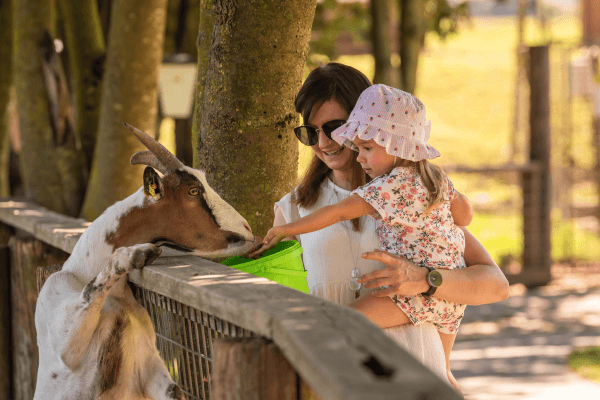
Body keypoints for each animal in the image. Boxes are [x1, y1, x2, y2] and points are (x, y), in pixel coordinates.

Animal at [32, 123, 258, 398]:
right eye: (193, 190)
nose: (247, 230)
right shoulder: (65, 345)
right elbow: (91, 291)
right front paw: (137, 253)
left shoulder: (149, 366)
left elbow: (174, 391)